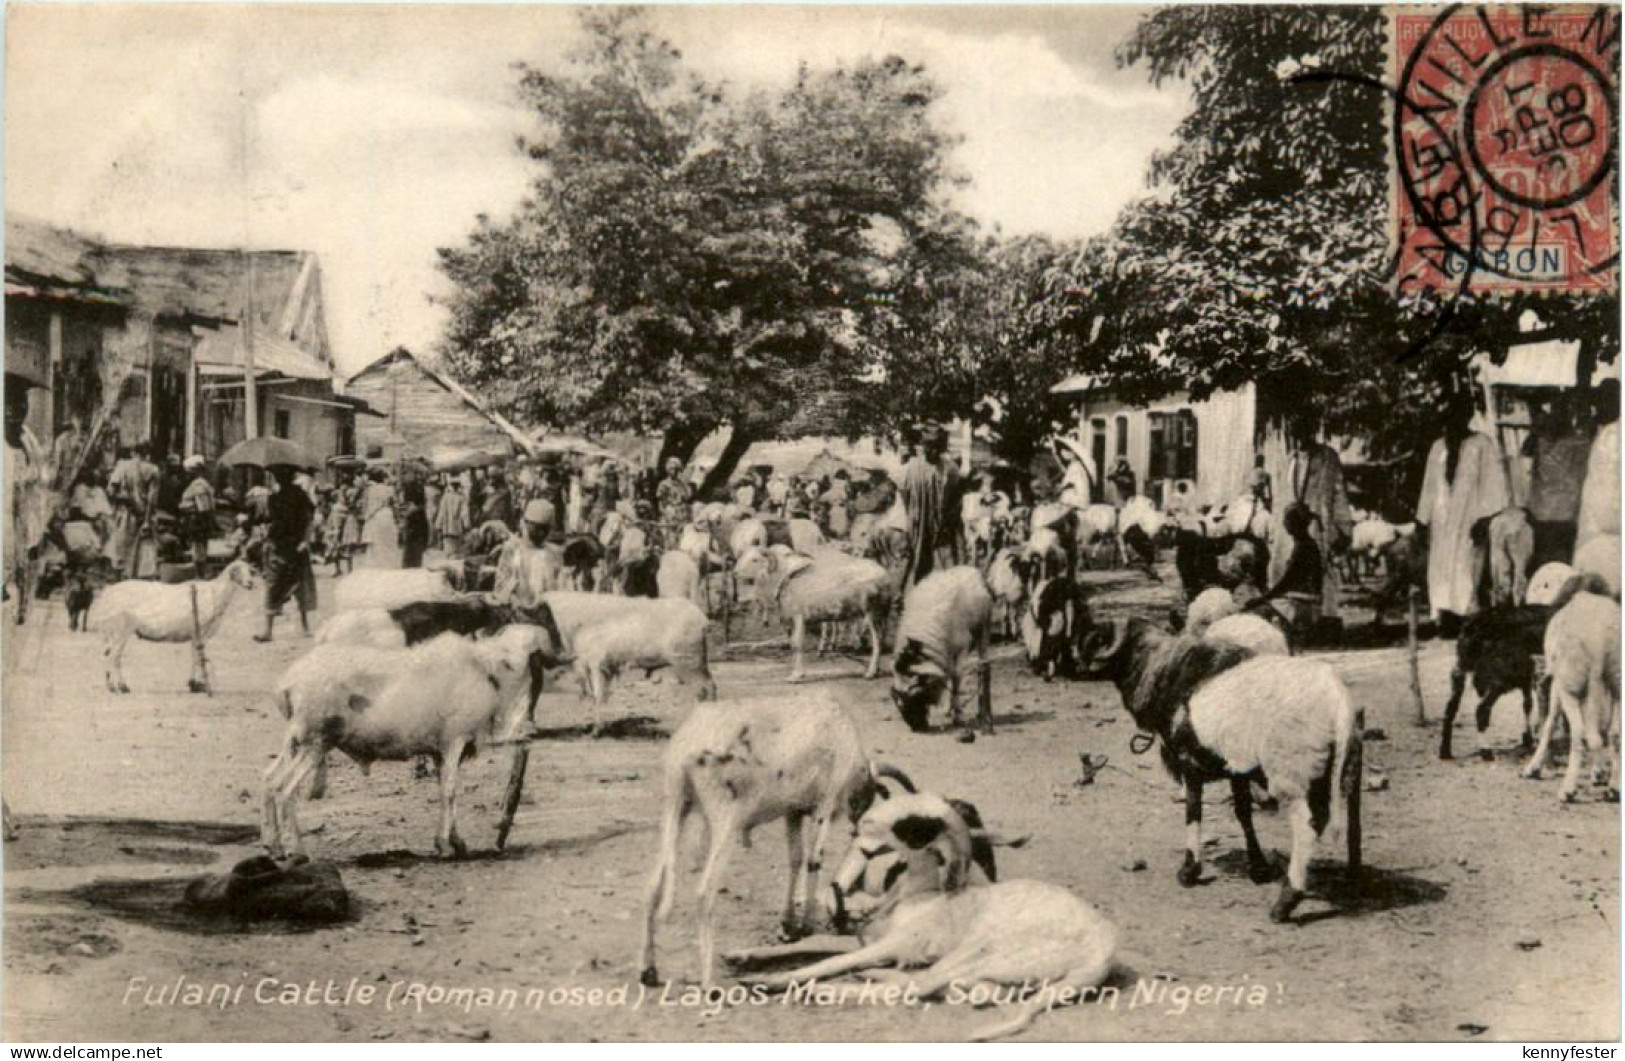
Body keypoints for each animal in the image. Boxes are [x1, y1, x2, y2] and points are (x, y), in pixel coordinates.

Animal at [95, 555, 256, 695]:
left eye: (250, 570)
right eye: (237, 570)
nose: (250, 583)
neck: (215, 594)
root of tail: (108, 594)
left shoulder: (195, 634)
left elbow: (195, 656)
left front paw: (194, 684)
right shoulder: (200, 631)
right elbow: (198, 657)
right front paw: (198, 685)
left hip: (112, 633)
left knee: (108, 654)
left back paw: (111, 686)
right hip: (120, 631)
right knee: (115, 657)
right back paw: (121, 687)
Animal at [260, 623, 549, 857]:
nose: (529, 729)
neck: (484, 669)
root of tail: (287, 685)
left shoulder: (439, 751)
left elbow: (443, 790)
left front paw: (452, 842)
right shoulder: (454, 742)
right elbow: (450, 791)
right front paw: (447, 845)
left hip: (297, 741)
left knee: (270, 780)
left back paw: (273, 846)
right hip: (315, 741)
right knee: (285, 789)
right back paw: (297, 851)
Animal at [890, 565, 988, 731]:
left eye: (917, 697)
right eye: (900, 704)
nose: (916, 728)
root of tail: (967, 568)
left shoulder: (960, 650)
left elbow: (956, 679)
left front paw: (958, 716)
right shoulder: (942, 654)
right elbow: (947, 677)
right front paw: (949, 711)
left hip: (983, 631)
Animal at [1085, 617, 1365, 922]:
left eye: (1099, 638)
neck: (1165, 670)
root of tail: (1337, 700)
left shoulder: (1189, 762)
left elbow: (1193, 811)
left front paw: (1190, 870)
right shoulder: (1236, 769)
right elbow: (1243, 813)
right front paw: (1258, 867)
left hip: (1291, 773)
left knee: (1306, 826)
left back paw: (1286, 901)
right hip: (1327, 774)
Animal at [1514, 588, 1618, 802]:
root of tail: (1600, 638)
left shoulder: (1560, 684)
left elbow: (1549, 723)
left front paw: (1532, 769)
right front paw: (1599, 773)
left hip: (1571, 686)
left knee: (1580, 732)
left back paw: (1568, 790)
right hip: (1614, 679)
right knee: (1612, 732)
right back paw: (1614, 788)